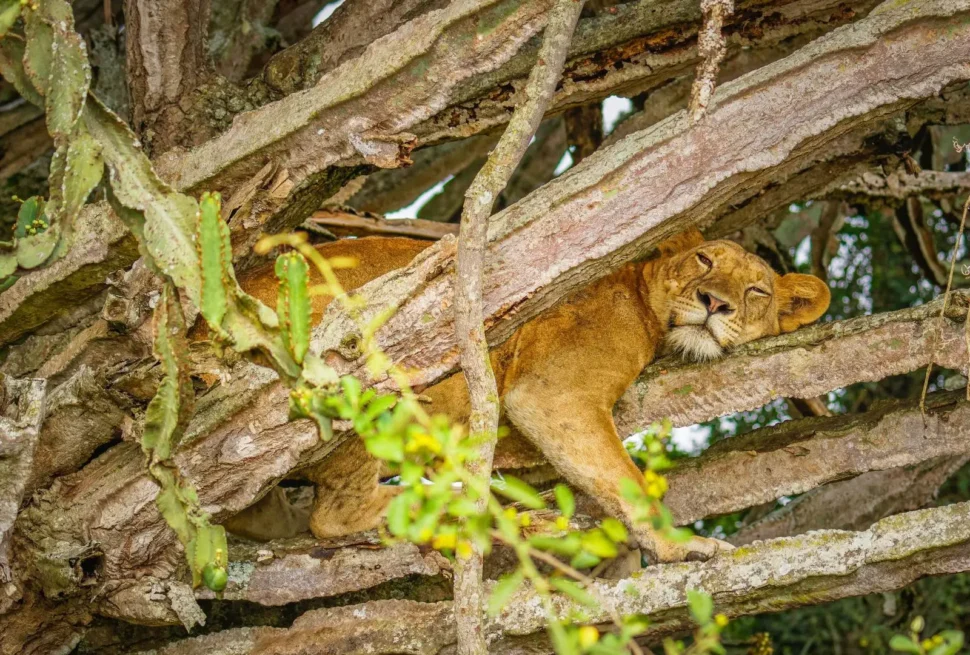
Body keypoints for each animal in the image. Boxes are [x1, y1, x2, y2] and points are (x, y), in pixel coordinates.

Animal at [228, 228, 830, 564]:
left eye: (756, 291)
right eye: (704, 262)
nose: (714, 303)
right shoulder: (552, 391)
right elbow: (625, 479)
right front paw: (679, 546)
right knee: (335, 515)